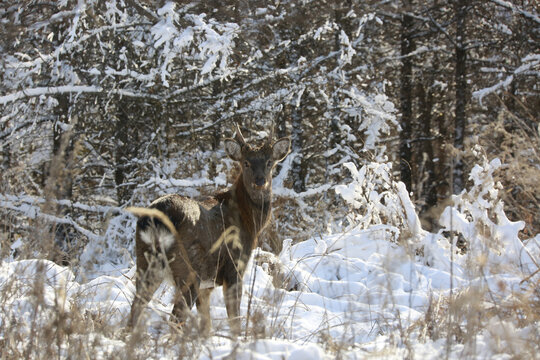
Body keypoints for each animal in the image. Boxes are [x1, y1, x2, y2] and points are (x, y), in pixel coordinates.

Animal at [127, 124, 292, 334]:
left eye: (269, 162)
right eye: (246, 163)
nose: (260, 180)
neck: (248, 220)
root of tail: (157, 220)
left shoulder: (207, 285)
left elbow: (206, 324)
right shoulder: (234, 266)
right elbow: (234, 318)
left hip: (145, 262)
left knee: (135, 310)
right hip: (188, 268)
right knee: (175, 318)